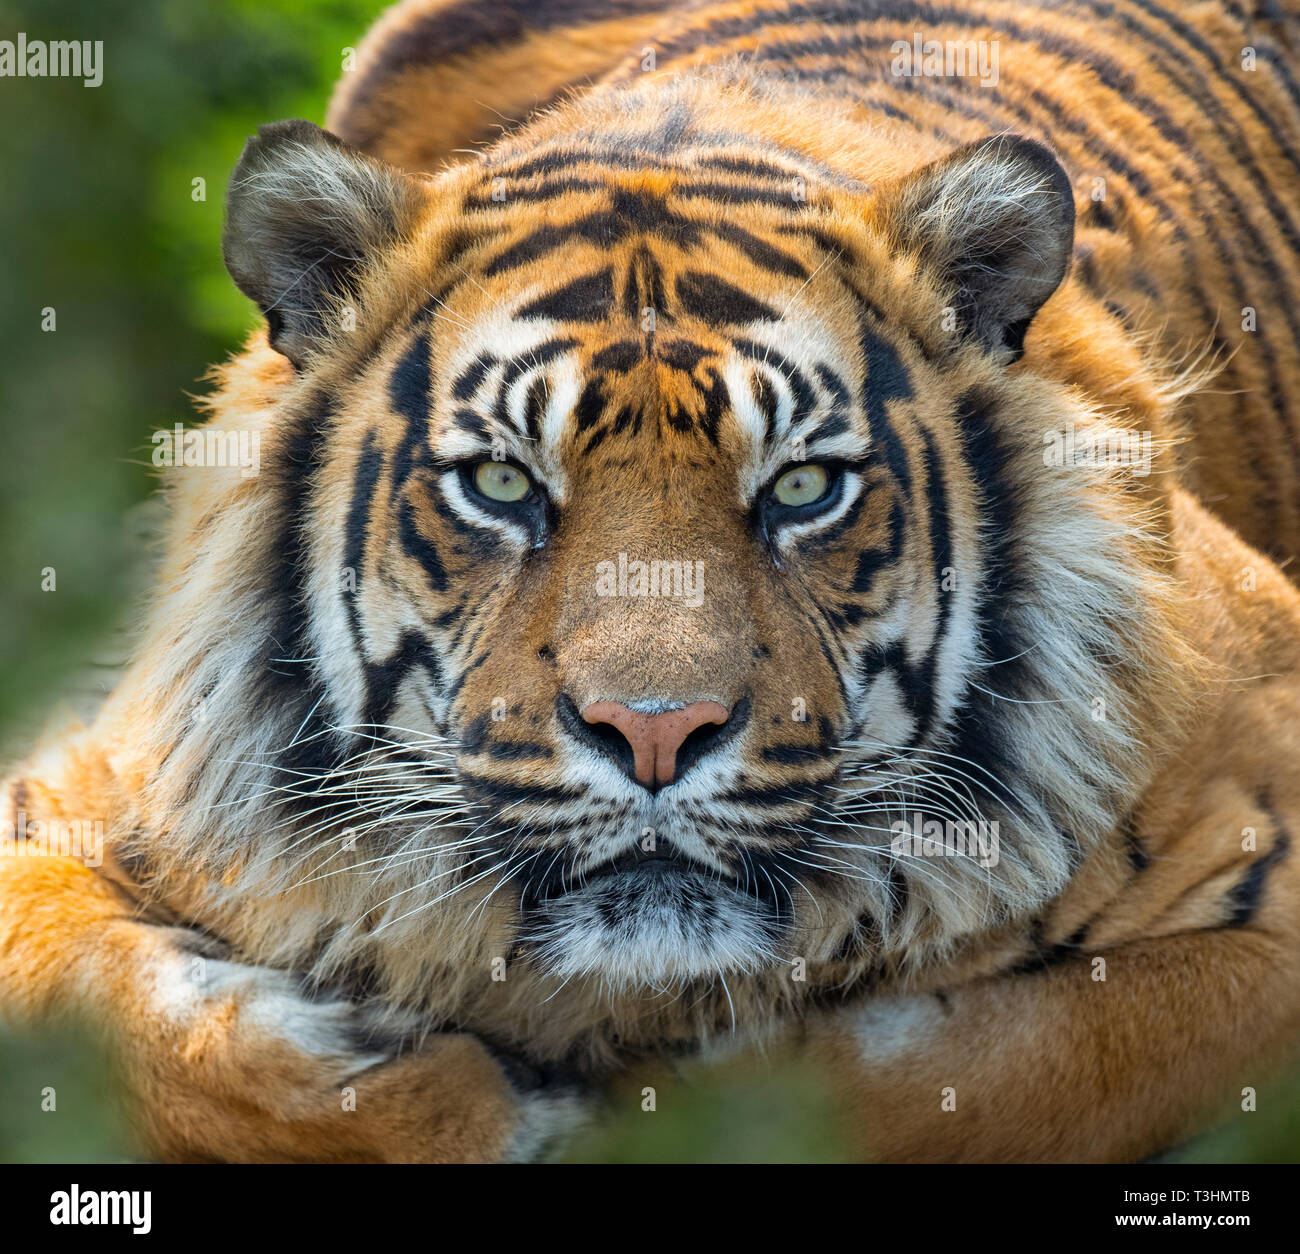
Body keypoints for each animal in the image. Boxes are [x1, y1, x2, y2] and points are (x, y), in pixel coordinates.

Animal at [3, 0, 1300, 1164]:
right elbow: (91, 996)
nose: (655, 732)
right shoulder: (90, 785)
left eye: (802, 488)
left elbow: (978, 1075)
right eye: (501, 482)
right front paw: (434, 1094)